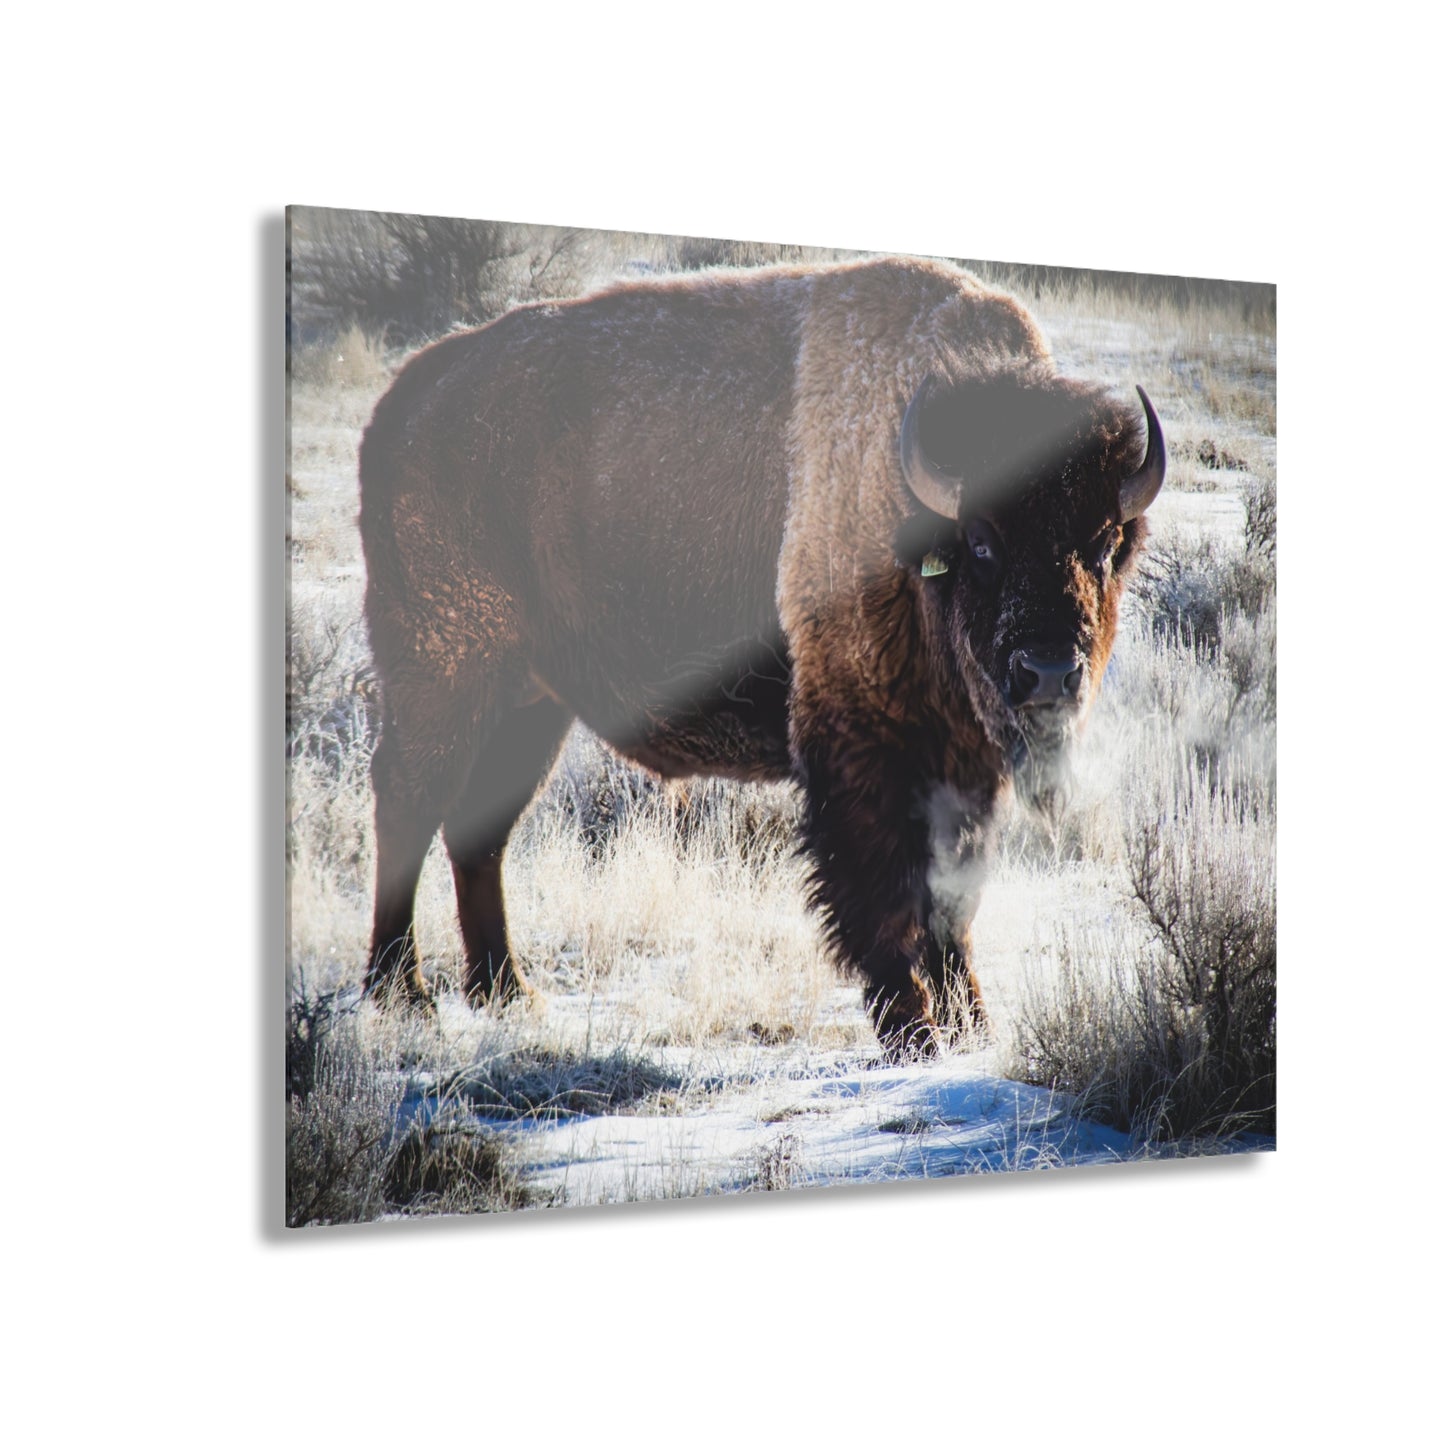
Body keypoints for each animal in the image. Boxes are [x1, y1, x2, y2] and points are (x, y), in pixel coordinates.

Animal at [358, 256, 1165, 1051]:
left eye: (1102, 544)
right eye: (982, 541)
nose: (1048, 672)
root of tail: (404, 400)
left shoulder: (963, 764)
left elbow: (952, 899)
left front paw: (972, 1026)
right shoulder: (863, 747)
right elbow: (885, 894)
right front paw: (913, 1031)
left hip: (529, 707)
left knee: (479, 830)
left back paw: (504, 991)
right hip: (444, 678)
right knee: (408, 807)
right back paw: (403, 992)